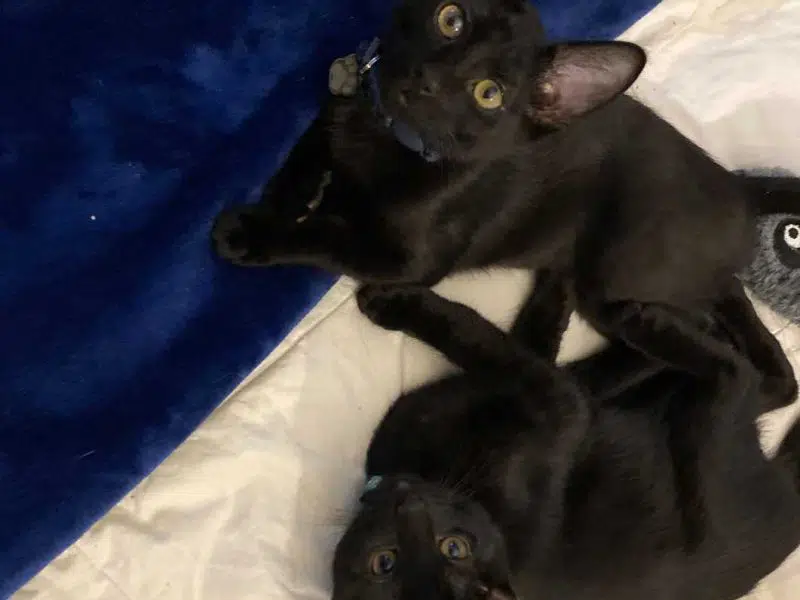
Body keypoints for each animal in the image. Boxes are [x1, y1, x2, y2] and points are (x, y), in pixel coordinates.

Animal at [211, 0, 798, 407]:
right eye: (451, 18)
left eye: (488, 93)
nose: (427, 79)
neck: (389, 139)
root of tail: (735, 185)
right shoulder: (333, 116)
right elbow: (304, 158)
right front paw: (278, 203)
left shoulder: (410, 260)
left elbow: (328, 235)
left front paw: (251, 234)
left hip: (616, 278)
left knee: (718, 348)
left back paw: (585, 379)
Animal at [331, 275, 800, 600]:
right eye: (384, 562)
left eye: (453, 548)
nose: (407, 502)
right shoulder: (561, 404)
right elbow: (505, 343)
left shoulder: (552, 400)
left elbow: (524, 340)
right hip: (704, 431)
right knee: (750, 377)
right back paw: (665, 319)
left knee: (766, 382)